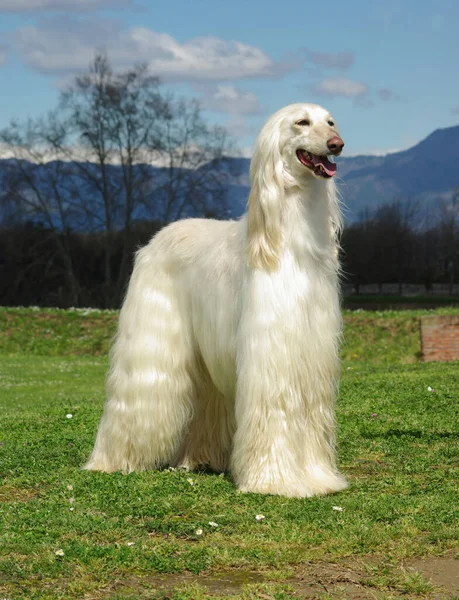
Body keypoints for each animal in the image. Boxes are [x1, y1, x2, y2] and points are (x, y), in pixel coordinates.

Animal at [83, 102, 348, 496]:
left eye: (330, 121)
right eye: (302, 122)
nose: (337, 144)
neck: (291, 246)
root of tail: (156, 238)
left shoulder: (311, 351)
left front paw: (318, 478)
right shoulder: (271, 353)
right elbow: (275, 414)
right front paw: (275, 480)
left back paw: (196, 459)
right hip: (153, 340)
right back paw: (113, 461)